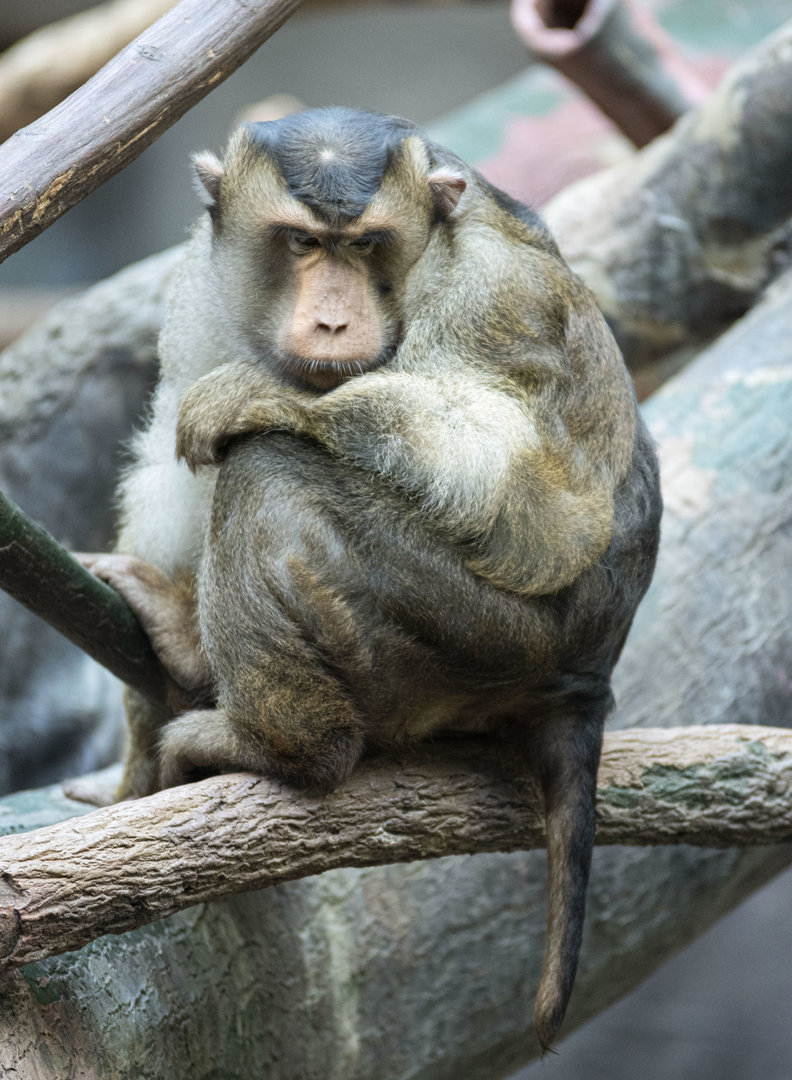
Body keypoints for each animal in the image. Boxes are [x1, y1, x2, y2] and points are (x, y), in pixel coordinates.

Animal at [86, 108, 661, 1052]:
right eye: (300, 242)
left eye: (364, 245)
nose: (328, 324)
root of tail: (590, 679)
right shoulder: (198, 285)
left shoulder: (495, 297)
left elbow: (541, 498)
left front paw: (260, 394)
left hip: (477, 639)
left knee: (272, 470)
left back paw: (288, 746)